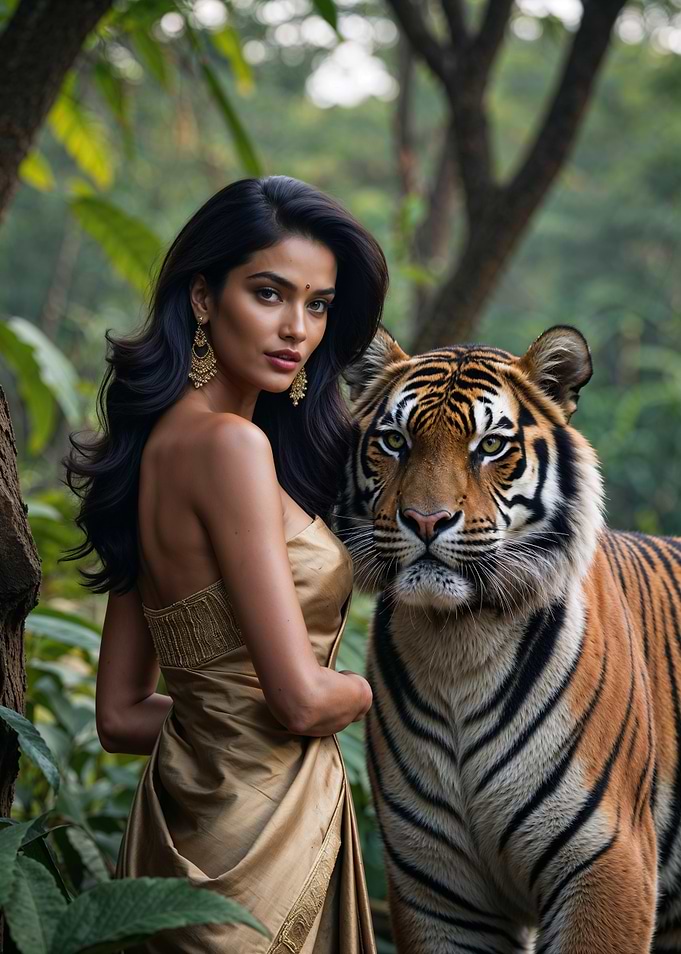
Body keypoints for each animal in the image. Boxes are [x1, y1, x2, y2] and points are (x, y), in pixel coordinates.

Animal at [336, 323, 681, 953]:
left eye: (491, 446)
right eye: (395, 441)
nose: (425, 520)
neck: (456, 644)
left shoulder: (606, 864)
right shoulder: (438, 890)